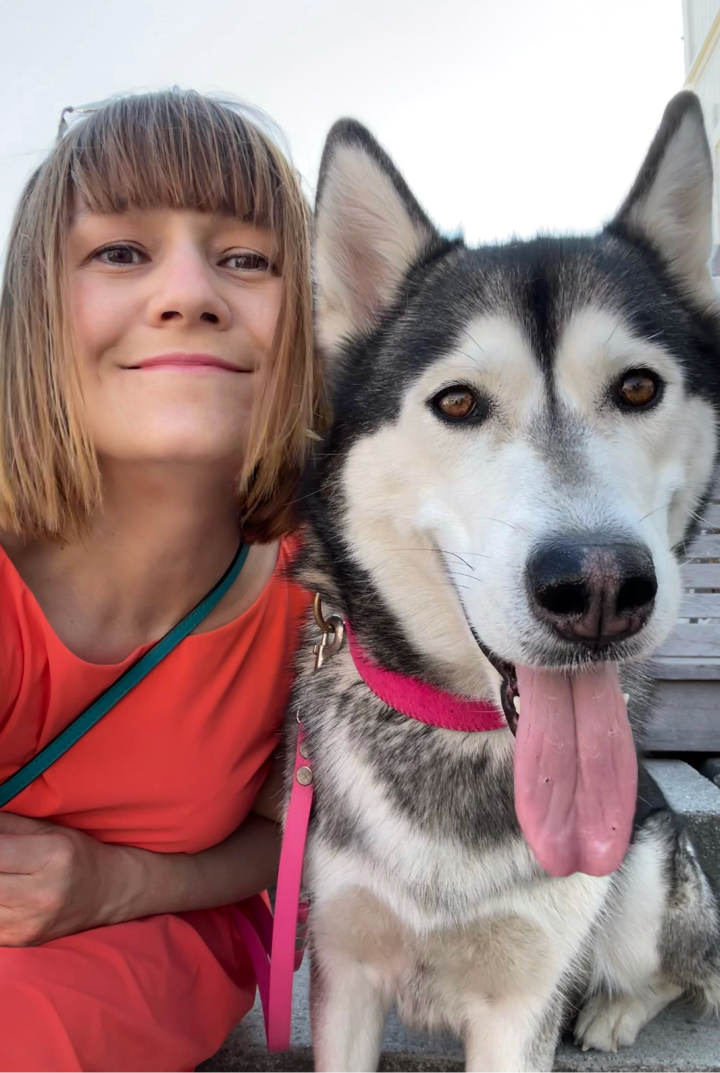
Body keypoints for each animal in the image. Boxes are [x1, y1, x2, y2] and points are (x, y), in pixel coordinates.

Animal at [289, 94, 720, 1073]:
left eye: (639, 388)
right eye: (457, 402)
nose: (598, 586)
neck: (460, 737)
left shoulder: (522, 1003)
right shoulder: (343, 969)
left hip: (644, 870)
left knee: (674, 966)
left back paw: (614, 1011)